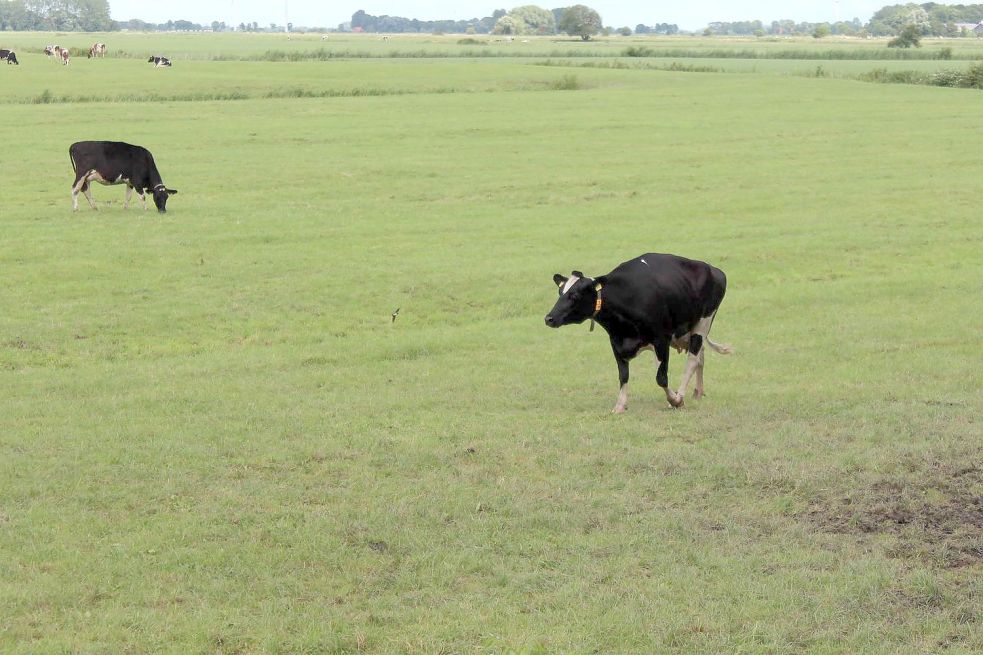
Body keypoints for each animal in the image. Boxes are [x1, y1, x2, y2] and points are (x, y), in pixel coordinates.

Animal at [544, 252, 732, 412]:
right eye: (560, 292)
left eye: (574, 295)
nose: (549, 318)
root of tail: (714, 270)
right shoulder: (616, 341)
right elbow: (624, 375)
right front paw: (620, 405)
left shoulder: (661, 338)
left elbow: (661, 378)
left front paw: (675, 400)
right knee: (699, 356)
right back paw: (698, 391)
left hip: (703, 322)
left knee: (692, 360)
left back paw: (680, 395)